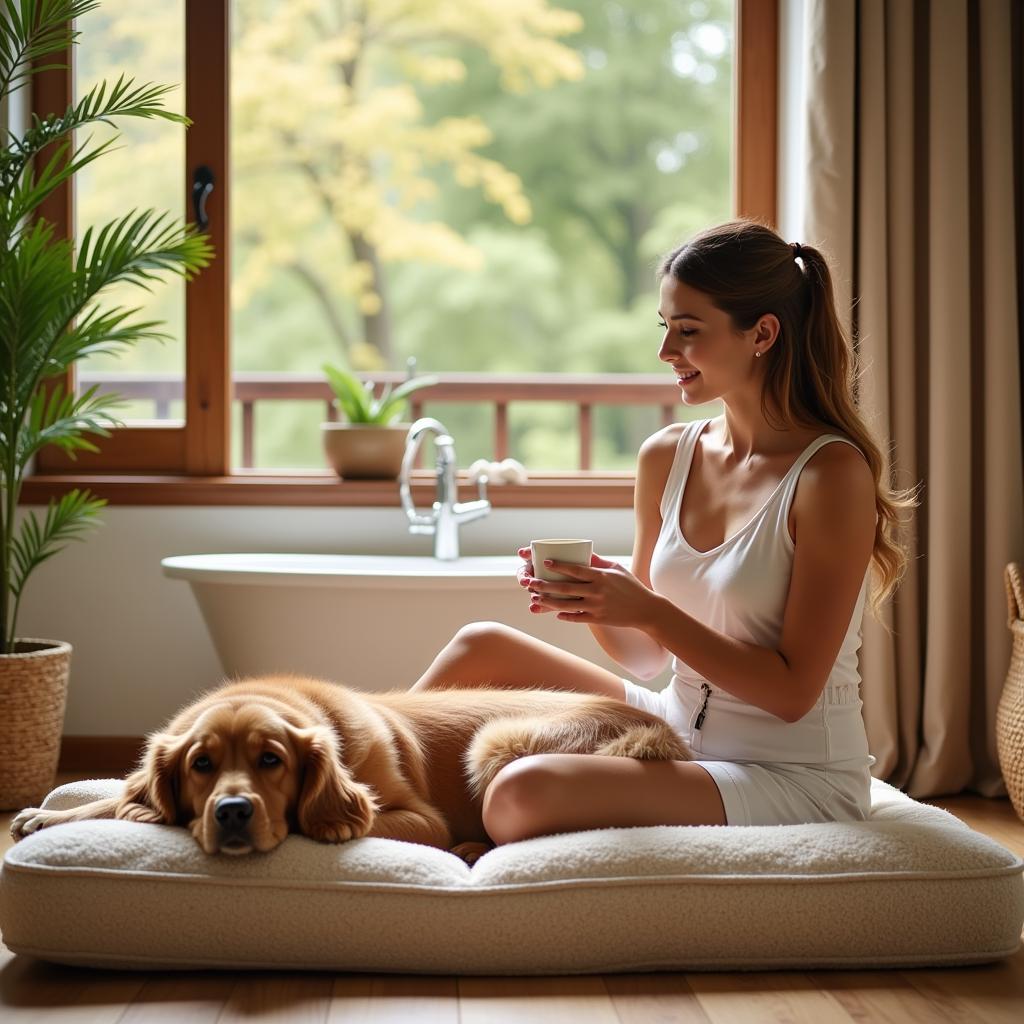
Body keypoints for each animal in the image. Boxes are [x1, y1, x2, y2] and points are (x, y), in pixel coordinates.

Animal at [9, 675, 688, 860]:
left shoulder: (422, 819)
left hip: (495, 744)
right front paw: (51, 816)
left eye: (272, 761)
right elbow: (120, 796)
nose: (232, 813)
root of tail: (658, 726)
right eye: (201, 764)